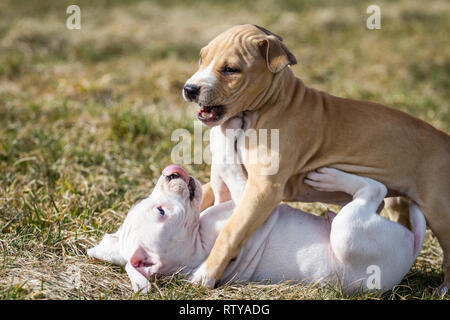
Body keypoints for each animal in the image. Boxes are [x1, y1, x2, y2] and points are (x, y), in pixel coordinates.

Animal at [88, 116, 426, 294]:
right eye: (161, 212)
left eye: (150, 203)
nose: (171, 171)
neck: (195, 242)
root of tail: (409, 252)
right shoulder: (245, 206)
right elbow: (231, 165)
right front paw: (228, 131)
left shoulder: (228, 201)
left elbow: (218, 183)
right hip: (350, 235)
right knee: (373, 191)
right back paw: (331, 179)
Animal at [183, 23, 450, 292]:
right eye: (201, 58)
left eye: (231, 69)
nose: (189, 89)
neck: (269, 106)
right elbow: (205, 192)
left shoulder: (264, 188)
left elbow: (232, 230)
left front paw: (206, 274)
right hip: (399, 202)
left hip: (440, 212)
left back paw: (444, 288)